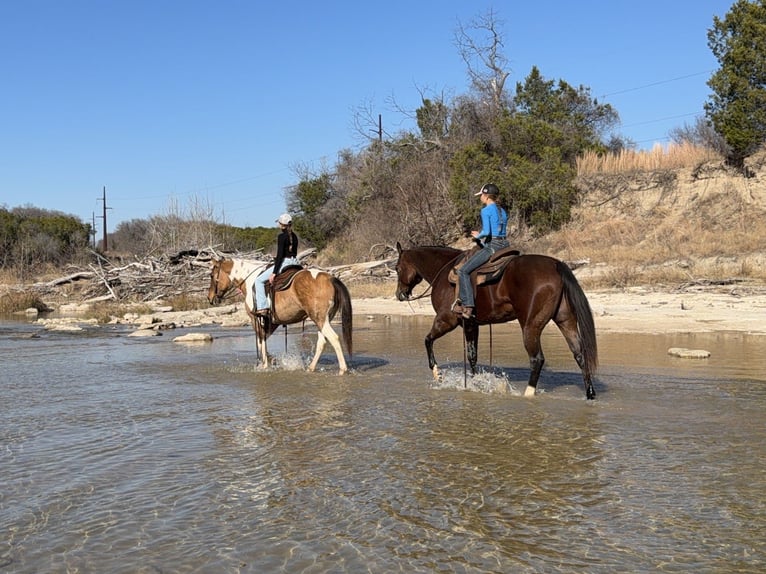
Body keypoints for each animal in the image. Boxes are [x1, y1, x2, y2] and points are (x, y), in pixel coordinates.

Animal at [207, 257, 353, 375]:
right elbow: (263, 340)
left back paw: (343, 369)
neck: (250, 281)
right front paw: (271, 361)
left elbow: (260, 341)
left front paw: (265, 364)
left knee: (334, 338)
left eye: (212, 275)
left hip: (320, 319)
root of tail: (330, 278)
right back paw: (311, 368)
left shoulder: (256, 319)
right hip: (324, 320)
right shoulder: (272, 322)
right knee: (322, 341)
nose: (210, 298)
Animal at [394, 242, 598, 399]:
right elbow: (472, 356)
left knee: (537, 359)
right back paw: (590, 393)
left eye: (397, 268)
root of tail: (555, 264)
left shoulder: (446, 320)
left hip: (530, 326)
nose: (399, 294)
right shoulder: (471, 324)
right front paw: (475, 383)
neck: (444, 271)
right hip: (565, 321)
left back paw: (528, 394)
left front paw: (438, 375)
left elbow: (427, 340)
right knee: (580, 354)